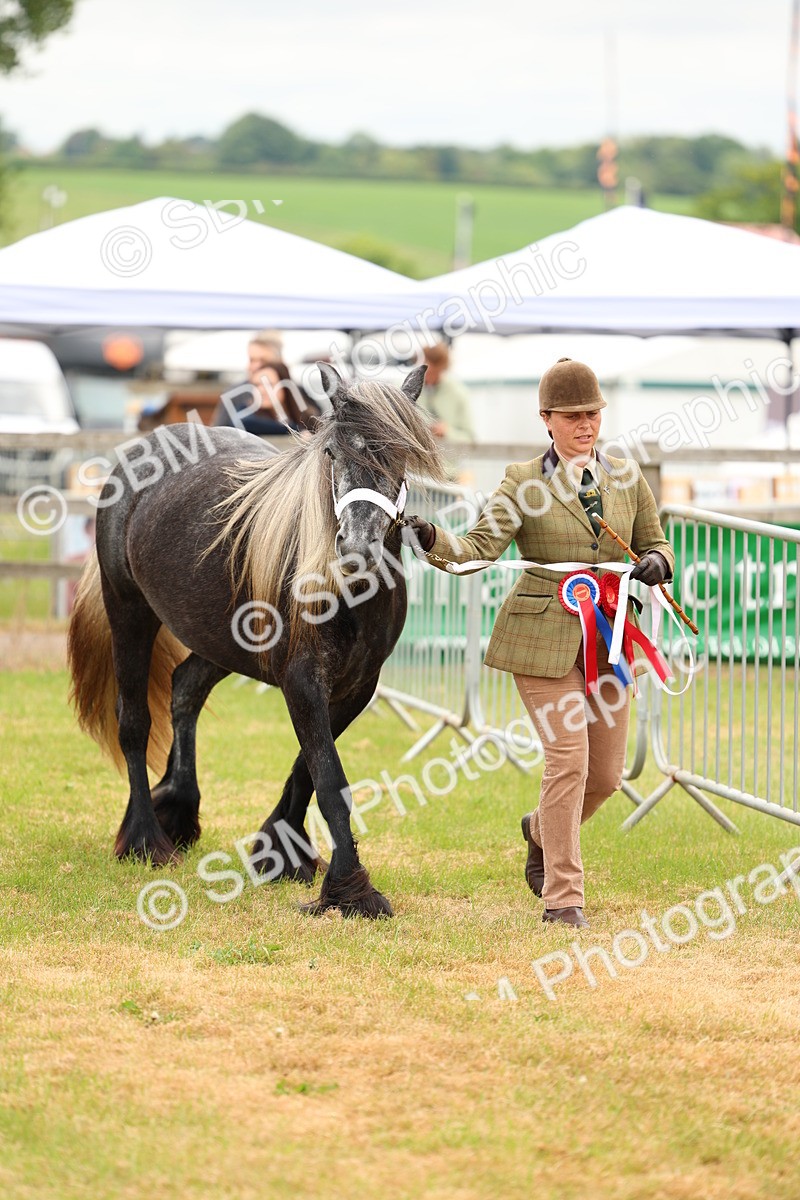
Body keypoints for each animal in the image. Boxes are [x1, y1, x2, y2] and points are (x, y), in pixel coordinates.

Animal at [67, 363, 445, 918]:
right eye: (331, 453)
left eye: (398, 455)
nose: (356, 548)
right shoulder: (303, 681)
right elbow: (329, 780)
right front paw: (352, 890)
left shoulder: (356, 687)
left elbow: (309, 770)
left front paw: (281, 852)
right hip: (128, 612)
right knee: (133, 723)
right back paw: (145, 839)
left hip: (218, 641)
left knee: (185, 690)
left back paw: (178, 809)